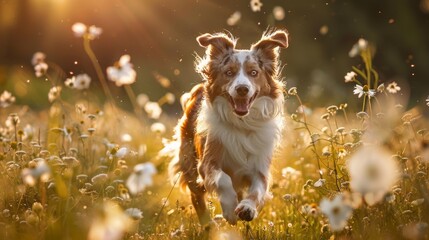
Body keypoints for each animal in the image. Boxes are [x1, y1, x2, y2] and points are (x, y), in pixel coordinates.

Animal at [168, 29, 288, 225]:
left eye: (253, 72)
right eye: (229, 72)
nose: (242, 89)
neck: (241, 122)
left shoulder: (260, 169)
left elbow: (257, 190)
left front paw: (247, 208)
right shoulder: (207, 163)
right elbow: (223, 179)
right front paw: (230, 210)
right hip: (189, 161)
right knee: (197, 197)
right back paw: (208, 225)